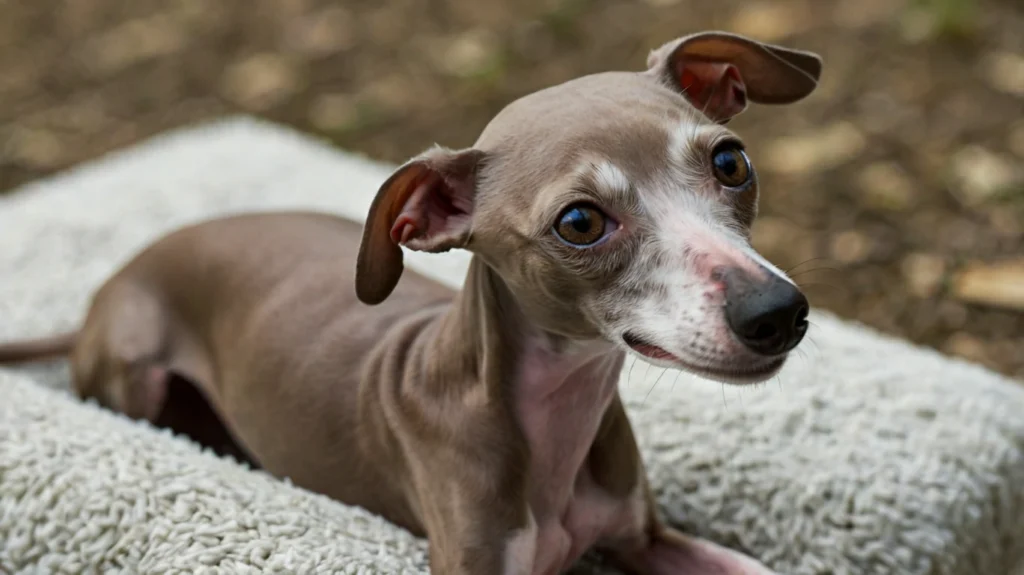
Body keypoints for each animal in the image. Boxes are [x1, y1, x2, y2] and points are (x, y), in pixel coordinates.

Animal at [0, 30, 815, 572]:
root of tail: (105, 290)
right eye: (580, 222)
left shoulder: (647, 539)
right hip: (135, 369)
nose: (776, 313)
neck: (553, 425)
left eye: (730, 161)